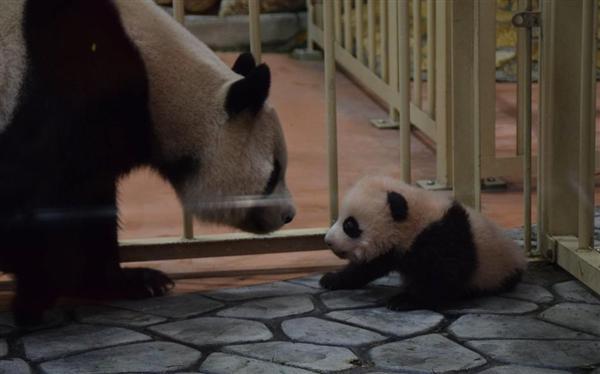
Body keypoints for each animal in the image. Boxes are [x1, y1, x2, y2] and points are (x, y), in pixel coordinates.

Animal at [0, 0, 296, 324]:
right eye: (274, 173)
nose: (288, 215)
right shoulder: (67, 90)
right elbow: (40, 202)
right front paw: (35, 301)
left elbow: (90, 207)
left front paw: (133, 281)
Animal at [318, 177, 524, 312]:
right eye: (338, 219)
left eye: (350, 225)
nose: (328, 241)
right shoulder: (392, 249)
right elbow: (367, 267)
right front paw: (332, 279)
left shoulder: (443, 236)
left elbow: (443, 275)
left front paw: (404, 300)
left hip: (495, 270)